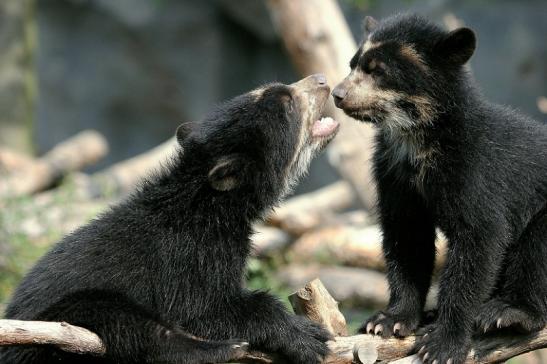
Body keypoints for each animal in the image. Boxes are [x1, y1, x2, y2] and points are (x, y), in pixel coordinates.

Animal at [2, 74, 340, 364]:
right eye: (288, 104)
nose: (323, 80)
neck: (209, 206)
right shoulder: (191, 257)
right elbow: (202, 312)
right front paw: (308, 337)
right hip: (54, 325)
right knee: (131, 326)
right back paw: (222, 350)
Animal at [332, 13, 547, 364]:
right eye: (353, 64)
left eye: (377, 70)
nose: (337, 94)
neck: (417, 140)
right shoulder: (394, 174)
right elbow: (407, 238)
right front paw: (388, 321)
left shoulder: (475, 169)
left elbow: (479, 239)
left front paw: (442, 344)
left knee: (535, 249)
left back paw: (508, 312)